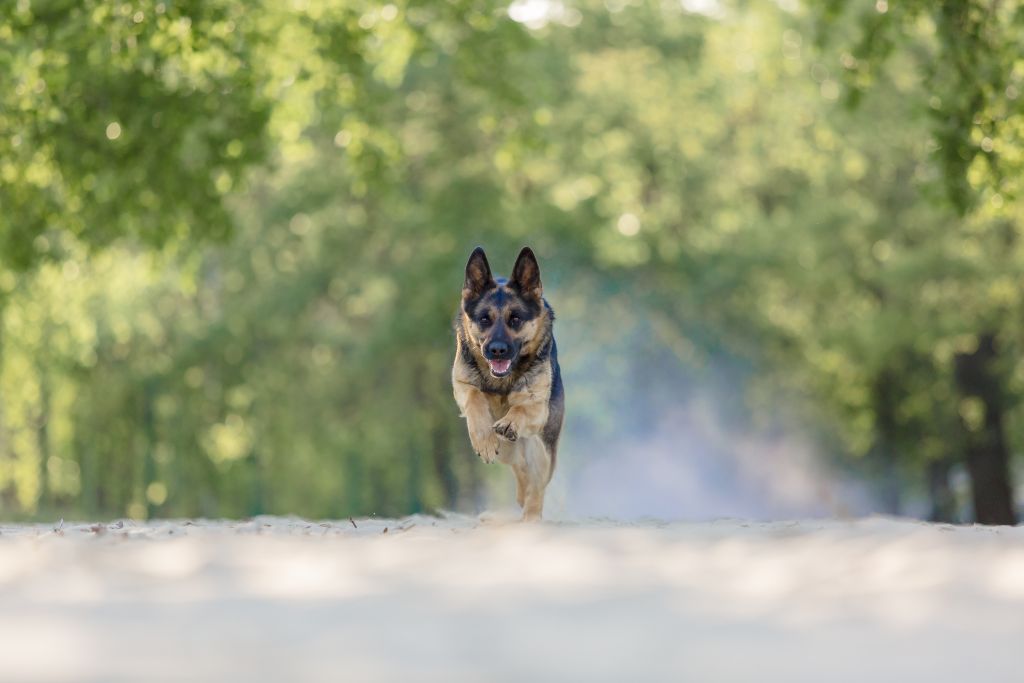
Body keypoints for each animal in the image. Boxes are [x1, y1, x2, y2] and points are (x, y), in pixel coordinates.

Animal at [454, 248, 565, 520]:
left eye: (515, 319)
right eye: (484, 319)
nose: (497, 350)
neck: (501, 382)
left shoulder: (537, 406)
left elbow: (521, 408)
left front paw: (509, 421)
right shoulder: (461, 384)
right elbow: (475, 398)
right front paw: (483, 440)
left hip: (541, 449)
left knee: (536, 484)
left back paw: (530, 518)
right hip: (508, 452)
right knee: (520, 471)